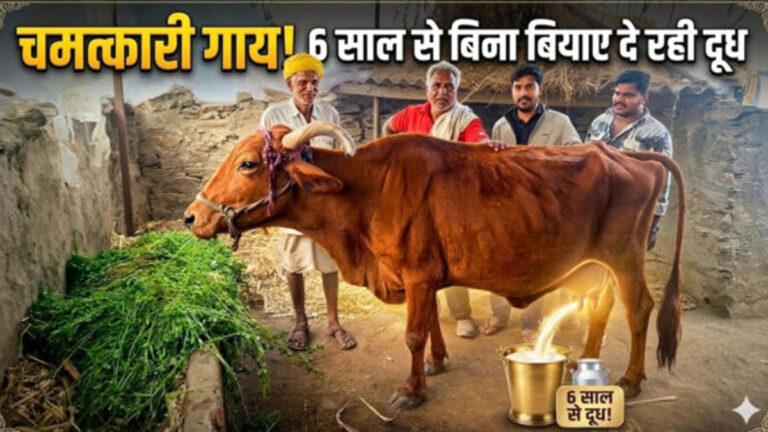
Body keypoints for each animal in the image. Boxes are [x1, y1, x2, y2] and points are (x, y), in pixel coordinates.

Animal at [184, 121, 685, 409]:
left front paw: (412, 390)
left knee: (639, 309)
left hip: (625, 258)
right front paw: (438, 361)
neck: (364, 189)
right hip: (597, 264)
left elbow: (413, 333)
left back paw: (632, 379)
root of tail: (622, 153)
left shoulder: (417, 274)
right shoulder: (425, 277)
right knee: (600, 307)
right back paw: (586, 361)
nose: (192, 216)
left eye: (249, 163)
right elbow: (431, 324)